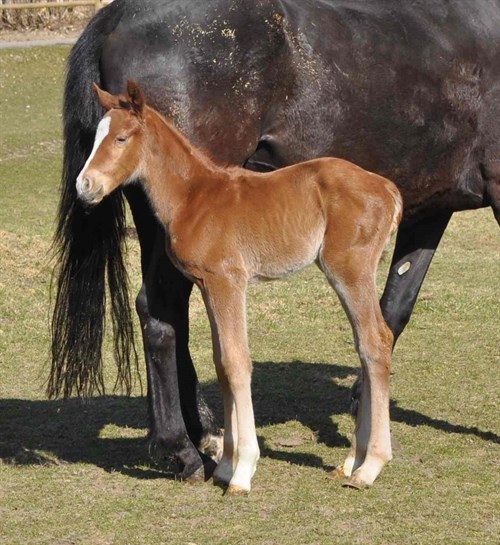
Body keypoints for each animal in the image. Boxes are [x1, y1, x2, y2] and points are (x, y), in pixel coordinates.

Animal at [76, 81, 402, 492]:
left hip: (349, 269)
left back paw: (369, 466)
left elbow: (236, 362)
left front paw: (243, 470)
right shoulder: (207, 285)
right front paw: (226, 465)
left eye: (121, 138)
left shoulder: (228, 281)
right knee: (365, 345)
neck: (194, 196)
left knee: (376, 341)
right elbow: (220, 363)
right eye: (95, 138)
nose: (85, 186)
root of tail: (388, 189)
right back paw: (351, 461)